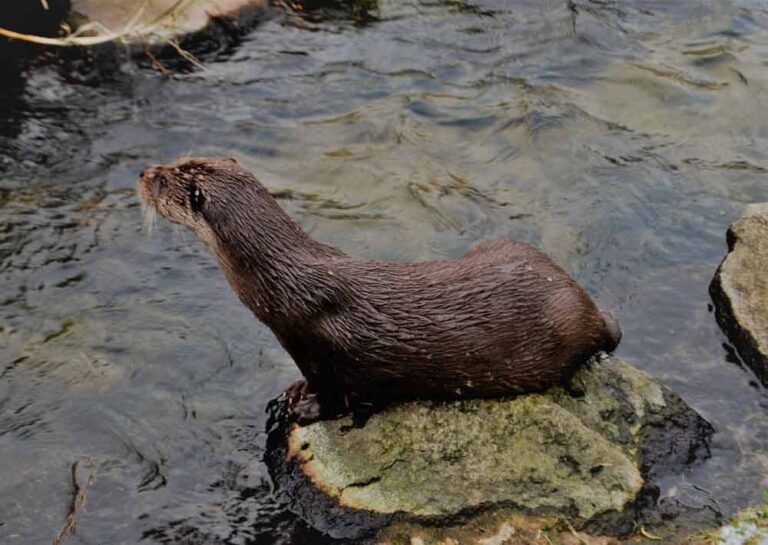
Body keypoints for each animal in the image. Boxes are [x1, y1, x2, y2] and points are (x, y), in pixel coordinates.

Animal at [138, 157, 621, 423]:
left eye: (164, 180)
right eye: (175, 159)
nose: (143, 171)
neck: (286, 288)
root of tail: (587, 302)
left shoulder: (333, 353)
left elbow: (345, 395)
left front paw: (308, 408)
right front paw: (295, 390)